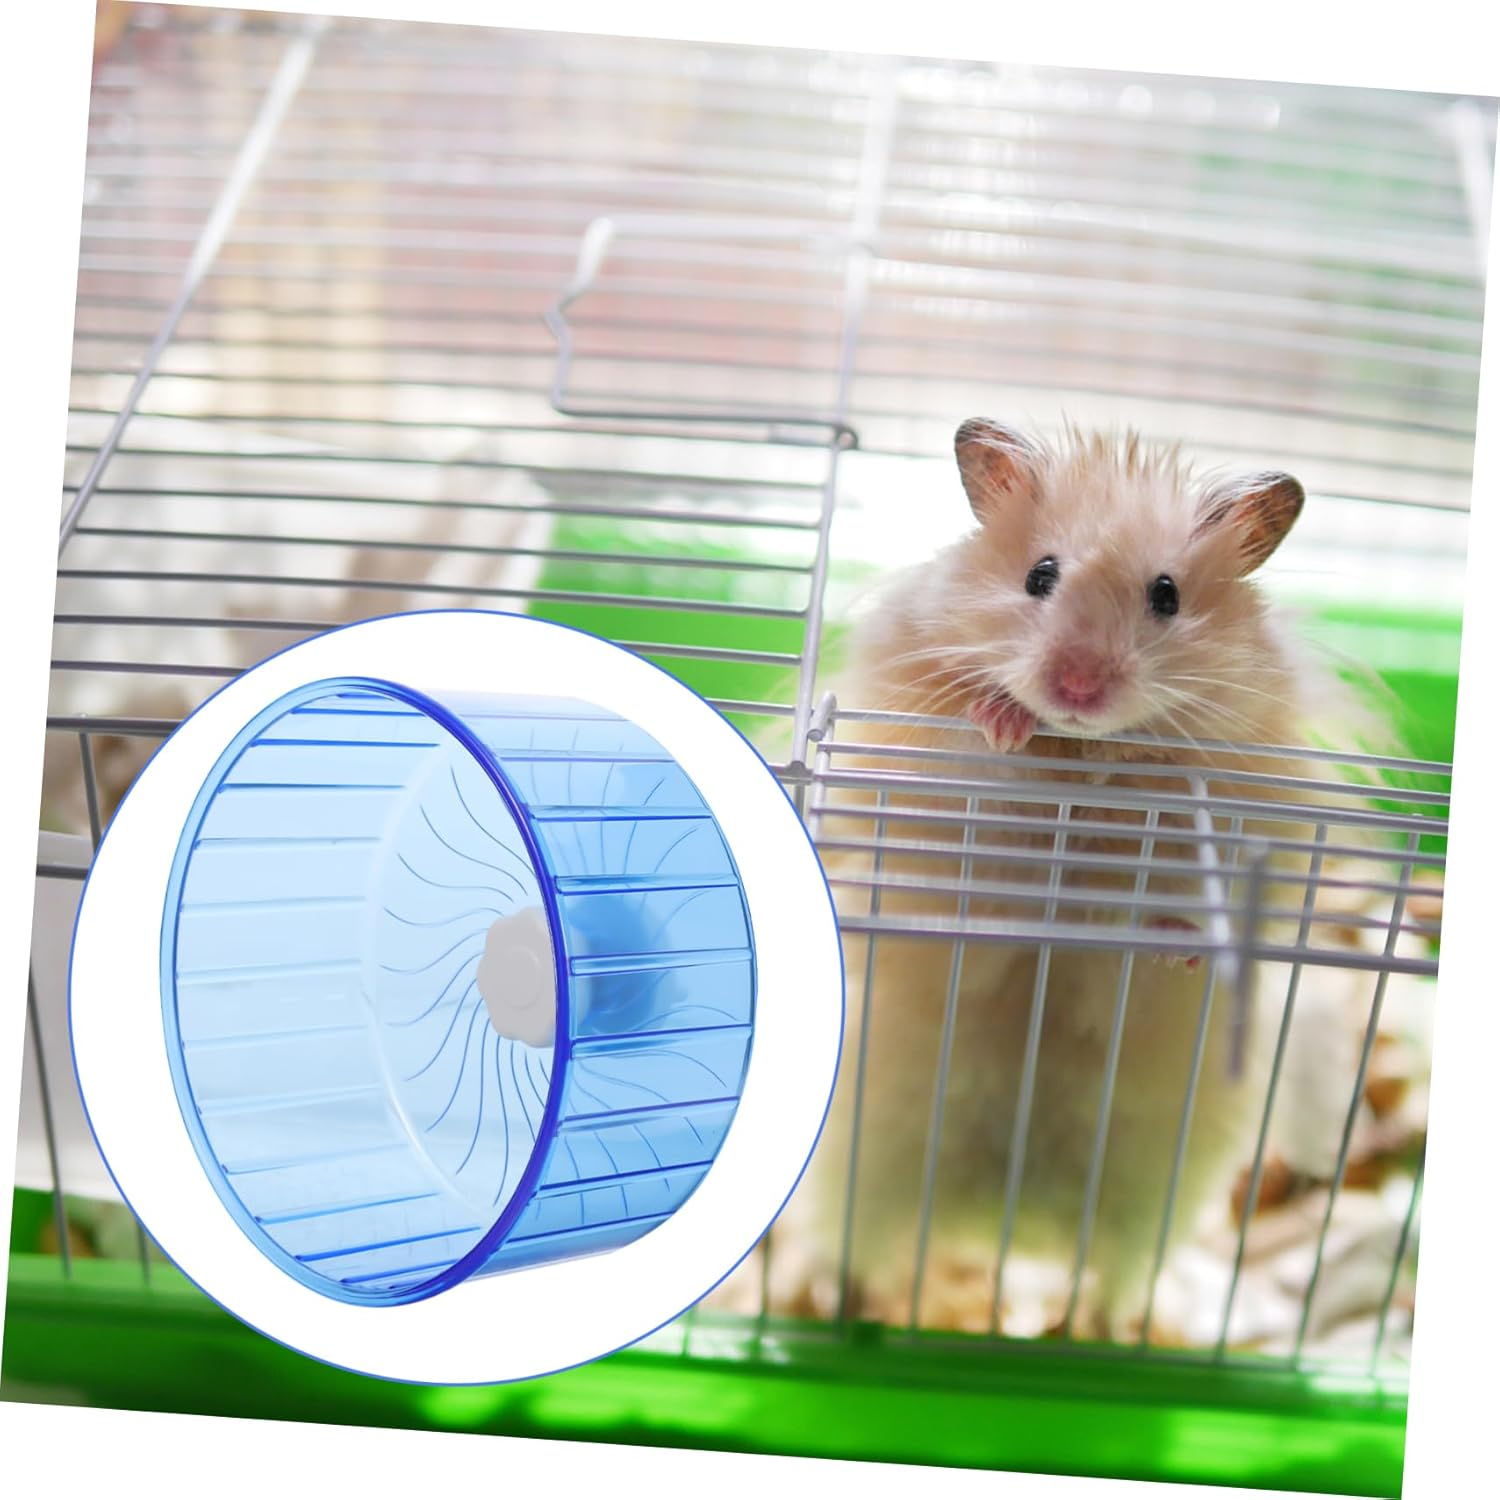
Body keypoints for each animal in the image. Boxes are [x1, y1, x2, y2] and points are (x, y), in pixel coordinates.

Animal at [765, 418, 1392, 1342]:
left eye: (1166, 595)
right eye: (1040, 575)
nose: (1078, 687)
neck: (1077, 754)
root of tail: (1004, 1229)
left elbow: (1175, 887)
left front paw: (1178, 946)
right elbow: (969, 819)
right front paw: (1003, 720)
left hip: (1149, 1209)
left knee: (1108, 1284)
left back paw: (1098, 1330)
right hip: (860, 1172)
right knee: (853, 1255)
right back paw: (834, 1313)